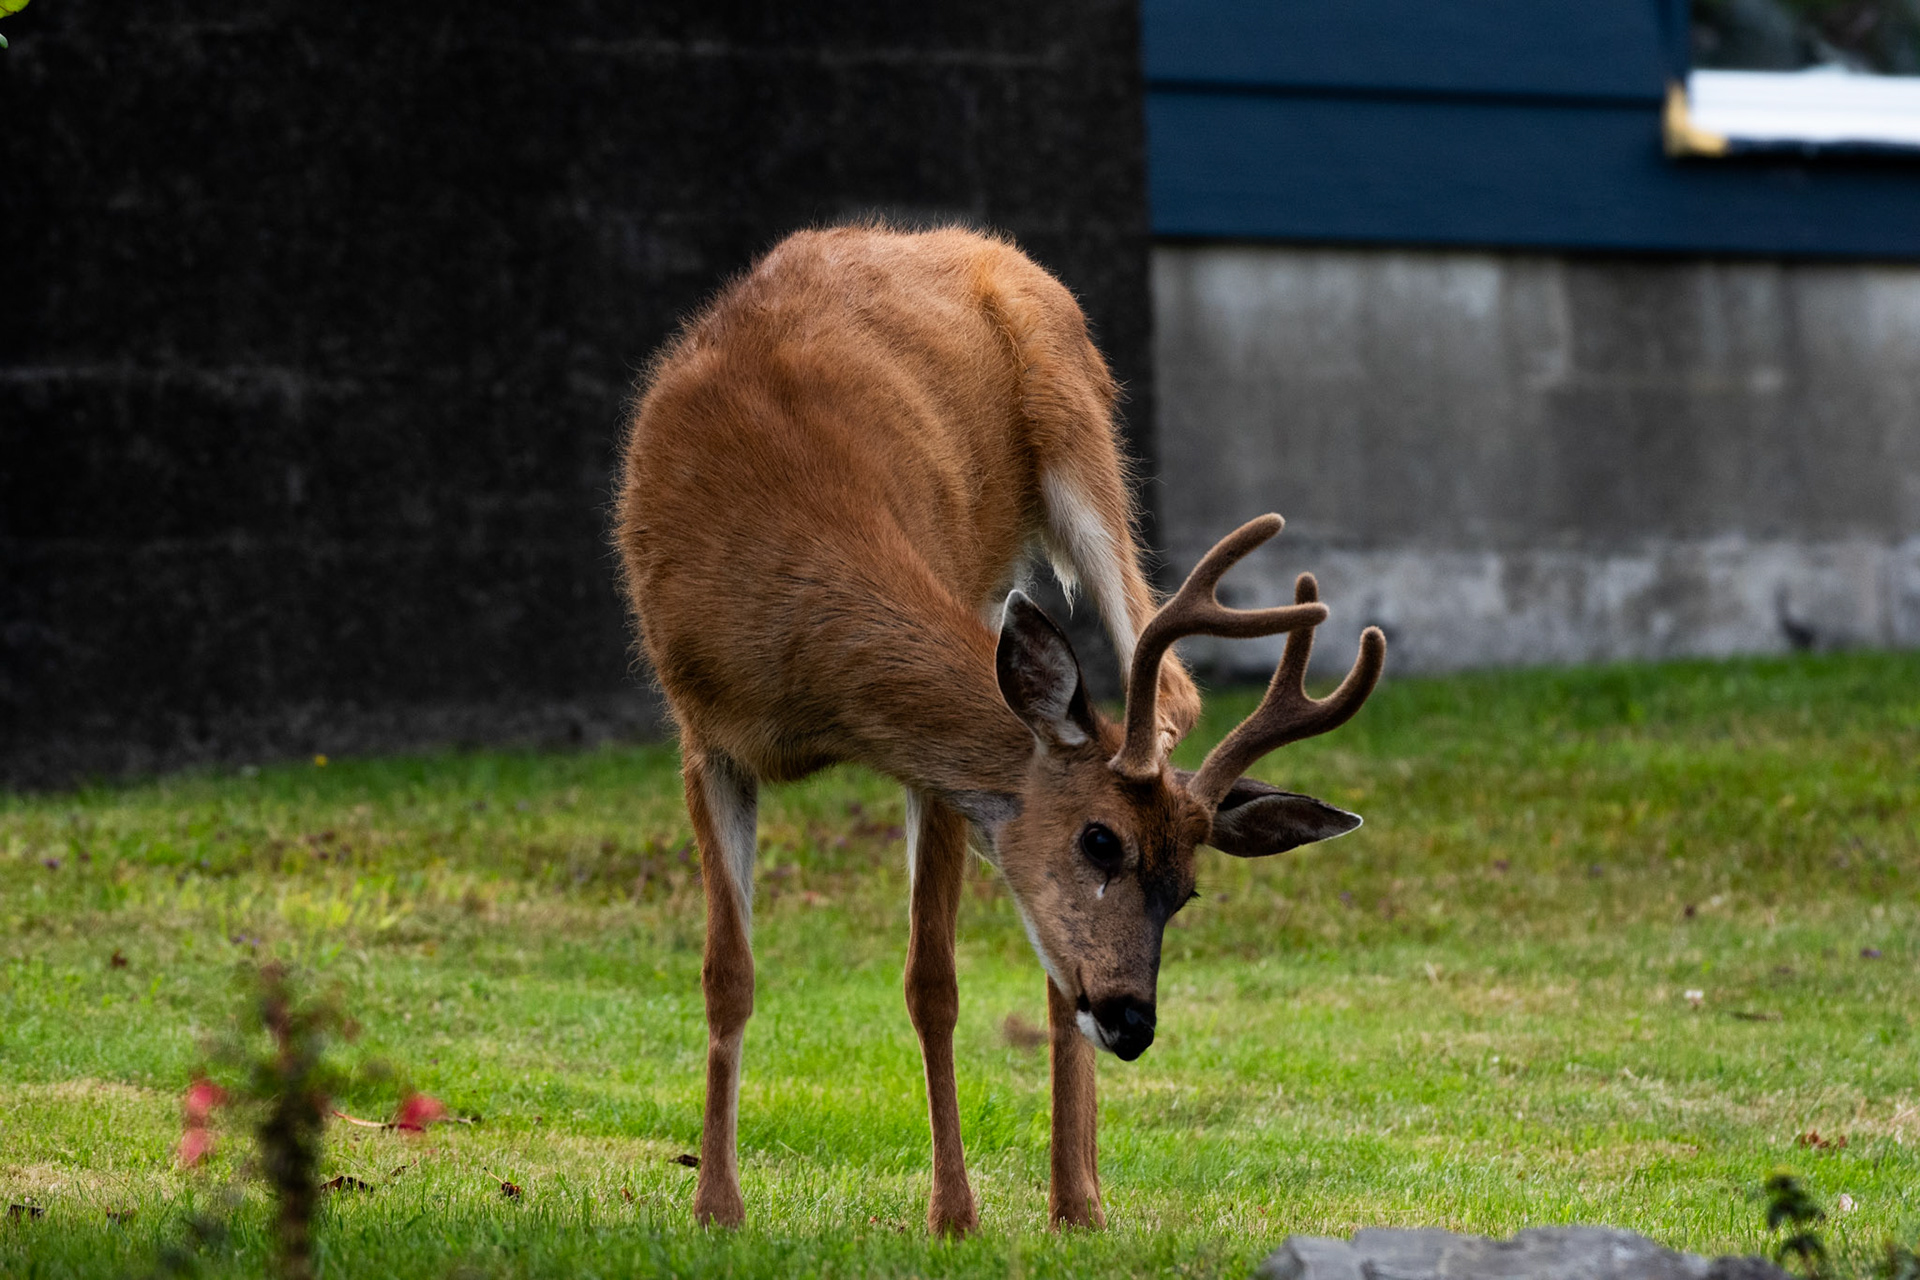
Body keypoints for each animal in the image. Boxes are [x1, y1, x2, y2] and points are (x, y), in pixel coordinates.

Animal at [614, 223, 1385, 1235]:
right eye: (1100, 842)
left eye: (1187, 892)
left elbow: (931, 982)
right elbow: (726, 973)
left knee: (1170, 690)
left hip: (1083, 437)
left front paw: (952, 1211)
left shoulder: (932, 765)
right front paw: (715, 1204)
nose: (1135, 1022)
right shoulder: (704, 735)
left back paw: (1078, 1198)